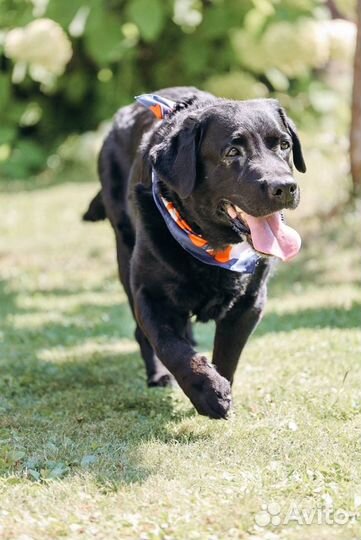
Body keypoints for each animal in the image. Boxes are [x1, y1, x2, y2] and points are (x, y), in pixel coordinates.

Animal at [83, 86, 304, 420]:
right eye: (232, 152)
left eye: (284, 145)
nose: (285, 187)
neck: (214, 247)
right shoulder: (150, 294)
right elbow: (171, 347)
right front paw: (208, 393)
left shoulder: (251, 302)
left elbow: (227, 353)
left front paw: (221, 385)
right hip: (124, 251)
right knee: (145, 335)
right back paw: (159, 375)